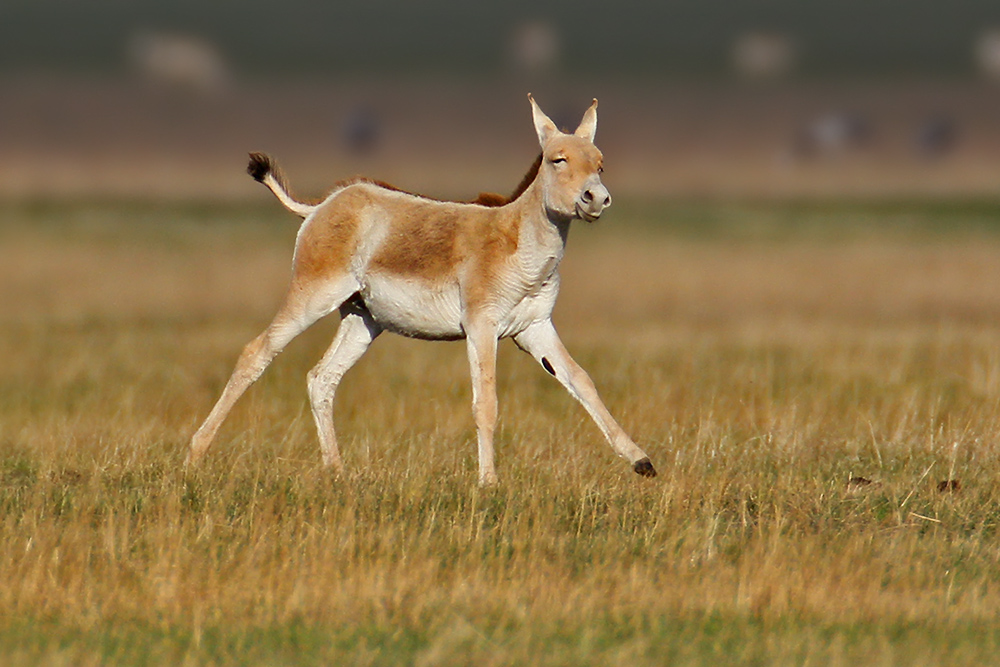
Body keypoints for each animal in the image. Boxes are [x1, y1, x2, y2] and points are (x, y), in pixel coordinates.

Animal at [188, 95, 656, 486]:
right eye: (557, 159)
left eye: (600, 164)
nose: (596, 198)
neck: (517, 244)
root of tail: (324, 204)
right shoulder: (482, 326)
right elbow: (486, 402)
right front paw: (489, 483)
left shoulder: (534, 327)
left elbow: (582, 382)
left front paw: (641, 461)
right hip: (312, 296)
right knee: (256, 354)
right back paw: (196, 454)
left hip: (363, 318)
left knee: (322, 378)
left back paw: (337, 472)